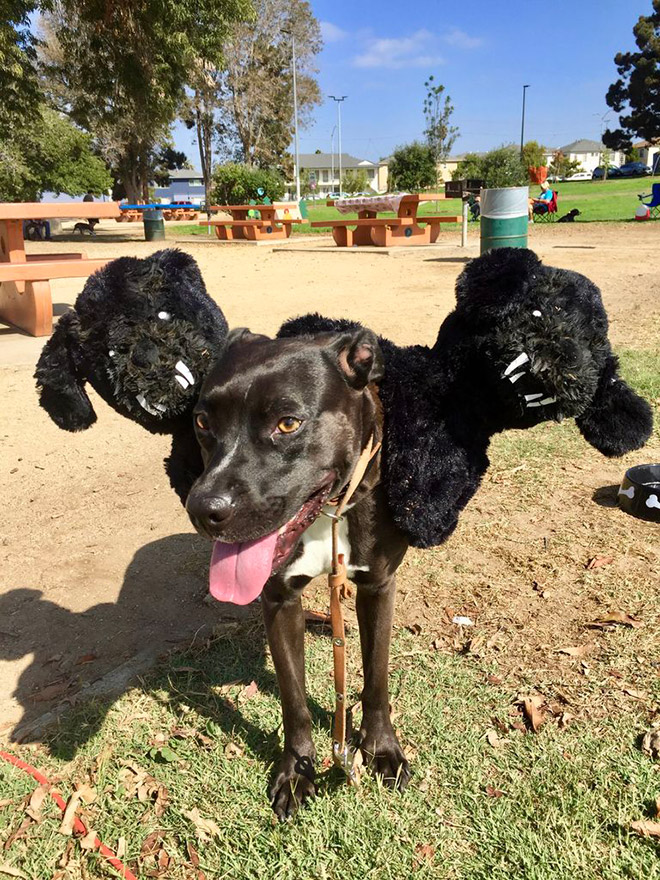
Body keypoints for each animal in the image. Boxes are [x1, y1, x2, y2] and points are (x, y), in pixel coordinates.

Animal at [186, 326, 412, 820]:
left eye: (287, 423)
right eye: (203, 422)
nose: (203, 510)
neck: (327, 513)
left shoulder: (378, 587)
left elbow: (376, 678)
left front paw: (381, 749)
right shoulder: (278, 598)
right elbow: (293, 698)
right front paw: (296, 770)